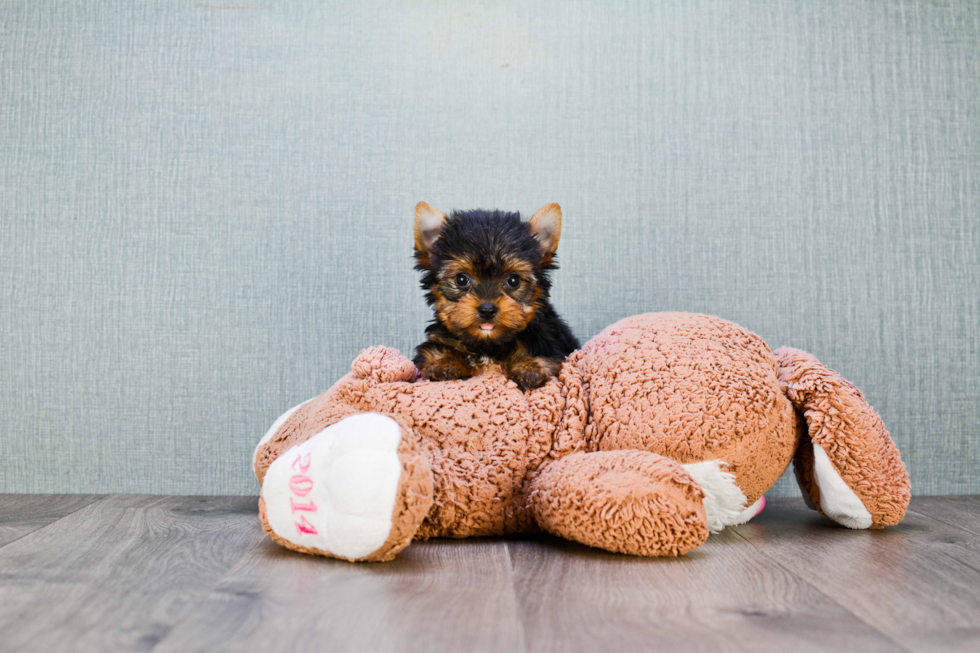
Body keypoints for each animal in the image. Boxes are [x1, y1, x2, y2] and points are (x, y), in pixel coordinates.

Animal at [414, 201, 580, 390]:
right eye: (461, 279)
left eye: (514, 280)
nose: (487, 309)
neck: (489, 344)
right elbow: (435, 349)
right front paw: (445, 363)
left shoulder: (552, 342)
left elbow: (546, 355)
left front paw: (530, 367)